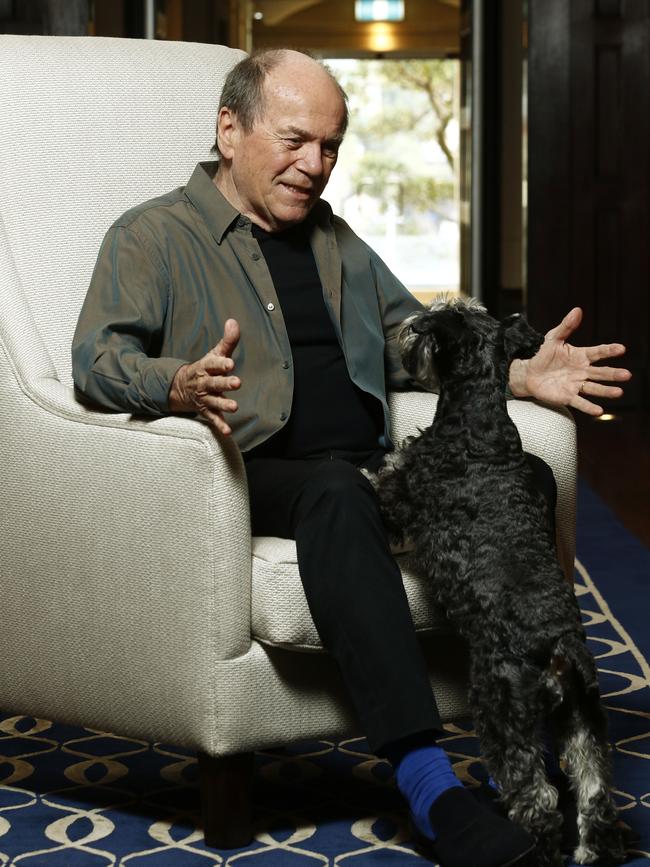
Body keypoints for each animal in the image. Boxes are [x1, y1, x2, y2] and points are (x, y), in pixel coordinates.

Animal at [372, 300, 624, 867]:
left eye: (441, 316)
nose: (407, 325)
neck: (478, 418)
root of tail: (559, 647)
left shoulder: (403, 494)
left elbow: (386, 480)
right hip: (582, 721)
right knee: (593, 793)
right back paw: (591, 850)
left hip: (501, 709)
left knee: (538, 799)